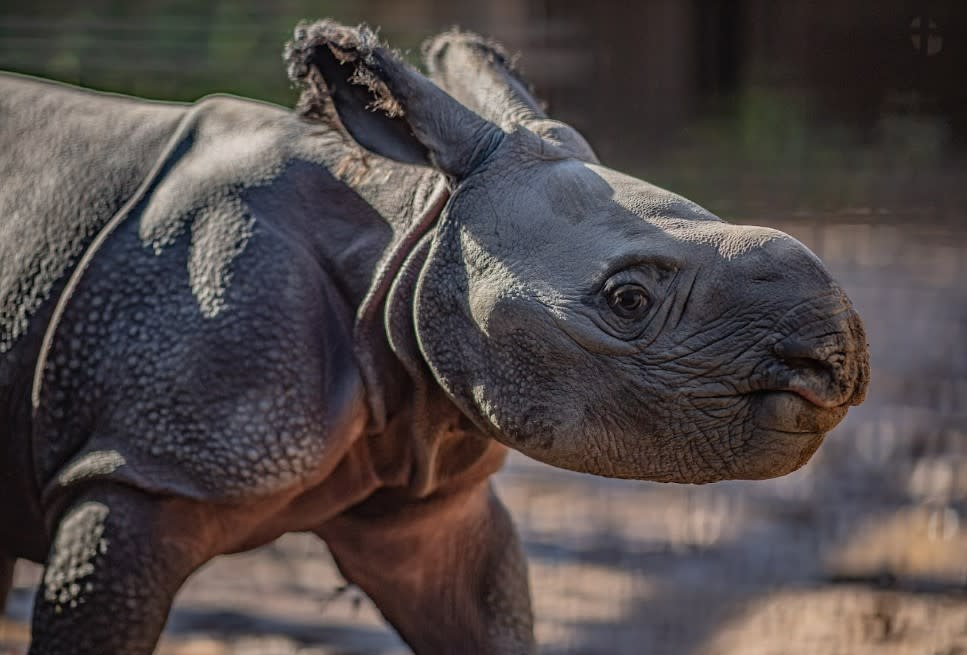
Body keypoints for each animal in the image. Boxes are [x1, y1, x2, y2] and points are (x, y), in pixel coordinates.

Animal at [0, 18, 868, 655]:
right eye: (628, 299)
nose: (840, 355)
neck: (405, 236)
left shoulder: (430, 496)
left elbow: (484, 613)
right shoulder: (147, 467)